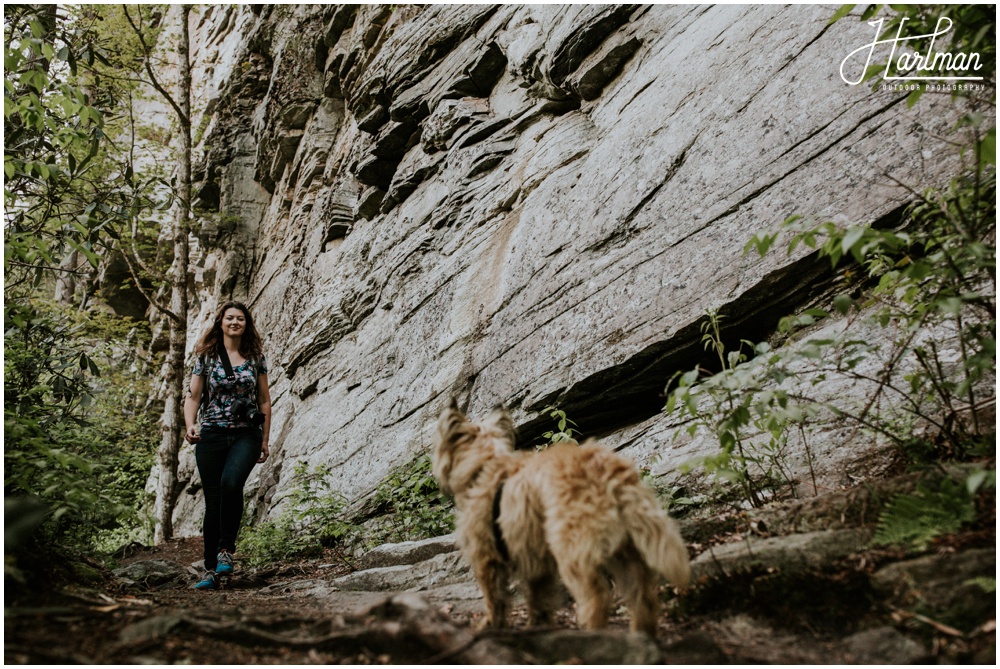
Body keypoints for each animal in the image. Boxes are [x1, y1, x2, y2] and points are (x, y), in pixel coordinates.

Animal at [434, 400, 692, 636]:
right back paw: (641, 637)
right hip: (626, 551)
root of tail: (607, 471)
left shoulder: (487, 558)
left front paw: (490, 626)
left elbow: (495, 599)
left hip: (571, 550)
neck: (487, 465)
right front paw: (538, 627)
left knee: (597, 597)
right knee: (643, 596)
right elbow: (540, 601)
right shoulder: (536, 563)